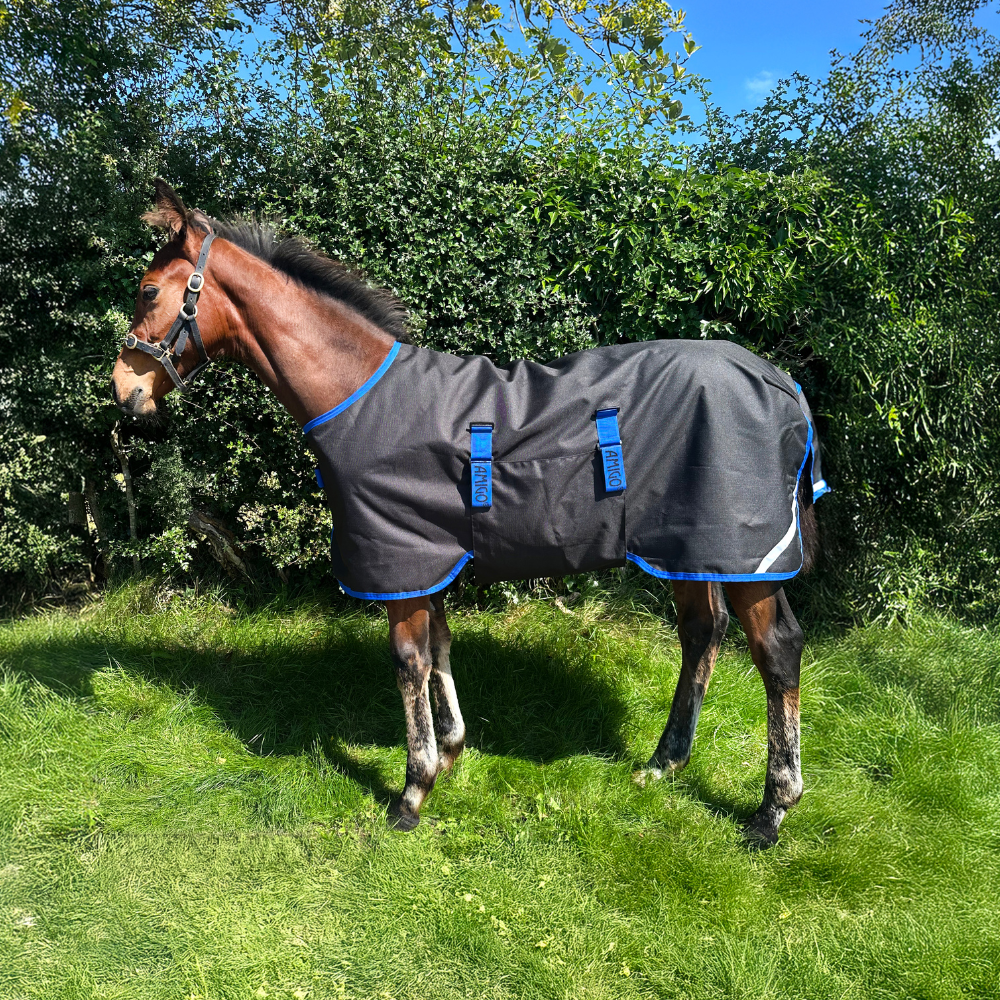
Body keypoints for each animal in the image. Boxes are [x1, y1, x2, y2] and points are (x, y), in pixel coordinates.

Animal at [111, 180, 824, 846]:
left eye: (148, 291)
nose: (124, 390)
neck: (360, 393)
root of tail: (780, 382)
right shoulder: (425, 556)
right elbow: (439, 643)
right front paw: (451, 751)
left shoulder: (399, 559)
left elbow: (409, 660)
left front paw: (412, 790)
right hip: (689, 549)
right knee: (703, 633)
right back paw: (663, 764)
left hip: (744, 554)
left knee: (776, 651)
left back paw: (772, 810)